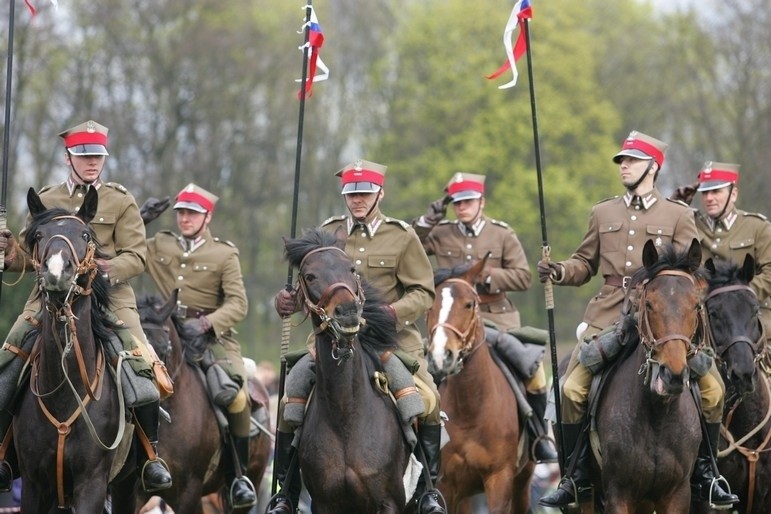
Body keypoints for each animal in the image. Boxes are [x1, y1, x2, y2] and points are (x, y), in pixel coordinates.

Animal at [284, 228, 414, 512]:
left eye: (351, 269)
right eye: (310, 276)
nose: (347, 312)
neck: (346, 415)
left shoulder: (389, 501)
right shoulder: (324, 503)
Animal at [426, 256, 532, 512]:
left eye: (469, 304)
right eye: (430, 307)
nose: (442, 356)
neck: (471, 407)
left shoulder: (500, 479)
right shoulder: (447, 485)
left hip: (522, 481)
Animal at [588, 238, 708, 510]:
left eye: (696, 305)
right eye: (650, 304)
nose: (672, 376)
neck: (657, 414)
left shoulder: (678, 493)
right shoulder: (618, 493)